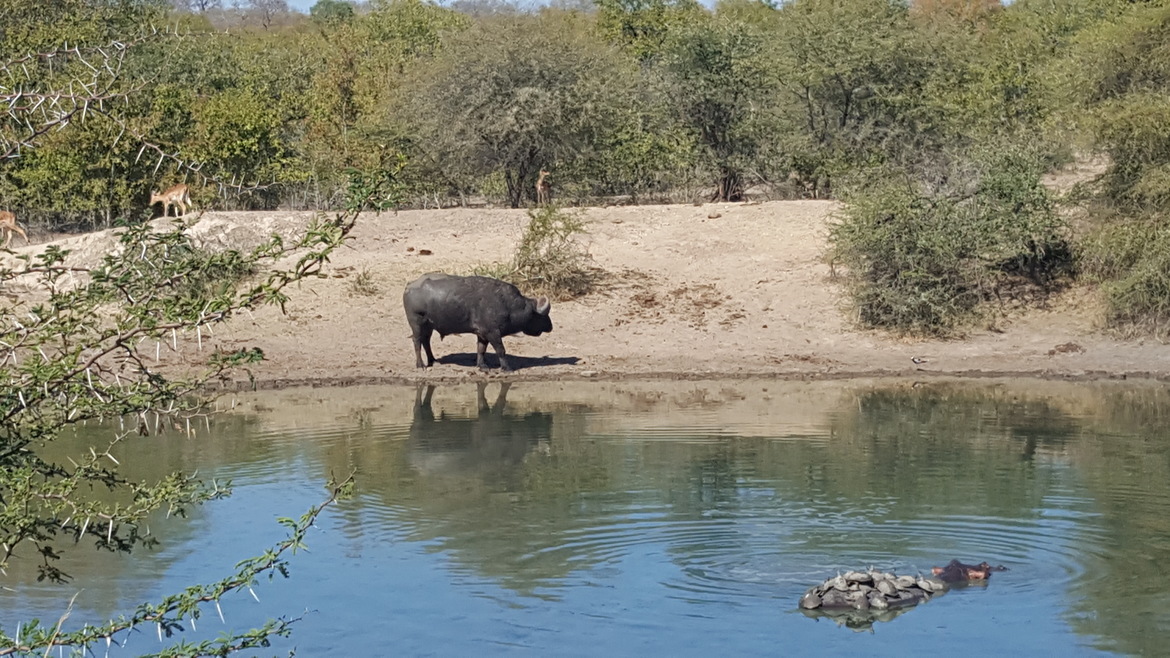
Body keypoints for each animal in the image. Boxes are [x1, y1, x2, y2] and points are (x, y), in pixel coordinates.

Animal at [403, 272, 552, 371]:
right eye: (542, 316)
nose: (551, 327)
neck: (509, 305)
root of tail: (409, 286)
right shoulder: (493, 333)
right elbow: (501, 350)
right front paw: (506, 367)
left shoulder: (482, 334)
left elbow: (481, 350)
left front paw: (482, 366)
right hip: (417, 323)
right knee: (417, 341)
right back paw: (420, 365)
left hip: (429, 326)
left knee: (426, 341)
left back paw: (433, 361)